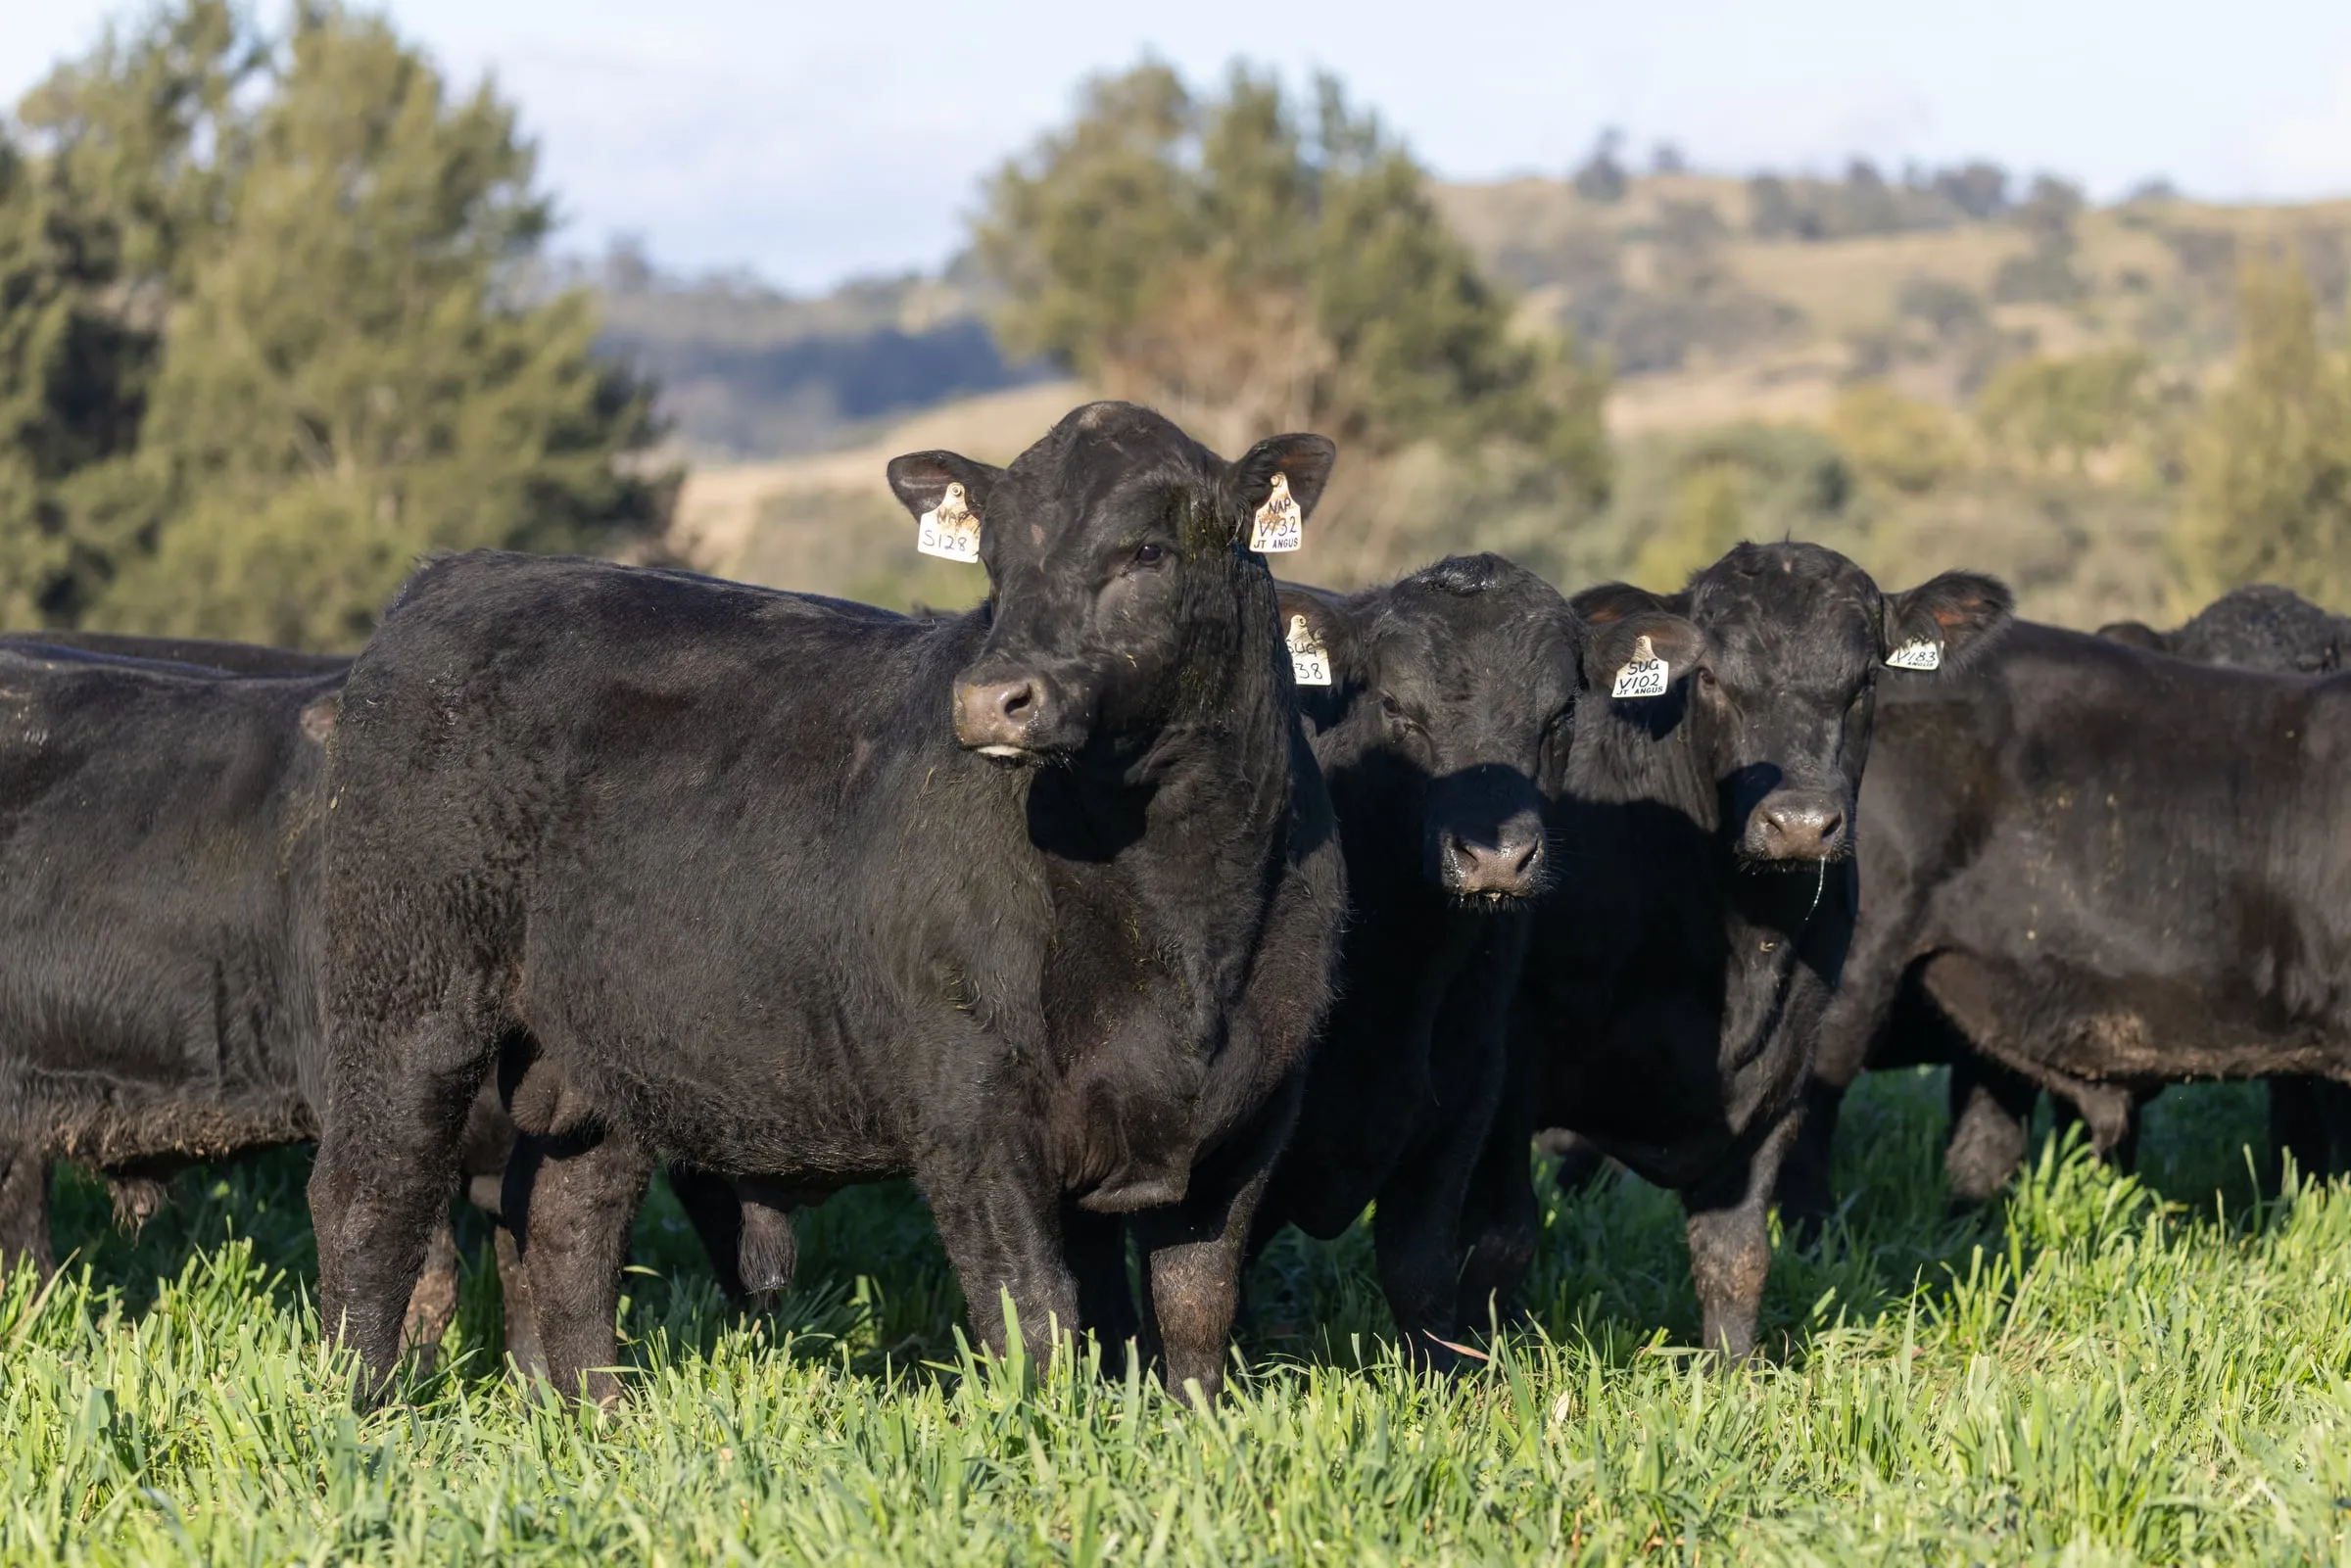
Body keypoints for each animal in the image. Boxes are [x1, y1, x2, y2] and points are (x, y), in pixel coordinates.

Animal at [308, 402, 1347, 1405]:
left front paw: (1193, 1426)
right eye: (997, 564)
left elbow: (1193, 1306)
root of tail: (458, 576)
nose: (991, 698)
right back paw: (360, 1403)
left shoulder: (1257, 1109)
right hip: (407, 991)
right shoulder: (972, 1100)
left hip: (593, 1045)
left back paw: (597, 1417)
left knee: (569, 1217)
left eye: (1148, 551)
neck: (1183, 920)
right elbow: (1035, 1310)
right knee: (370, 1192)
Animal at [1467, 542, 2012, 1359]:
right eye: (1713, 679)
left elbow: (1737, 1254)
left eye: (1866, 679)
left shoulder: (1782, 1069)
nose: (1799, 823)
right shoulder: (1511, 1064)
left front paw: (1733, 1375)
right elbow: (1500, 1241)